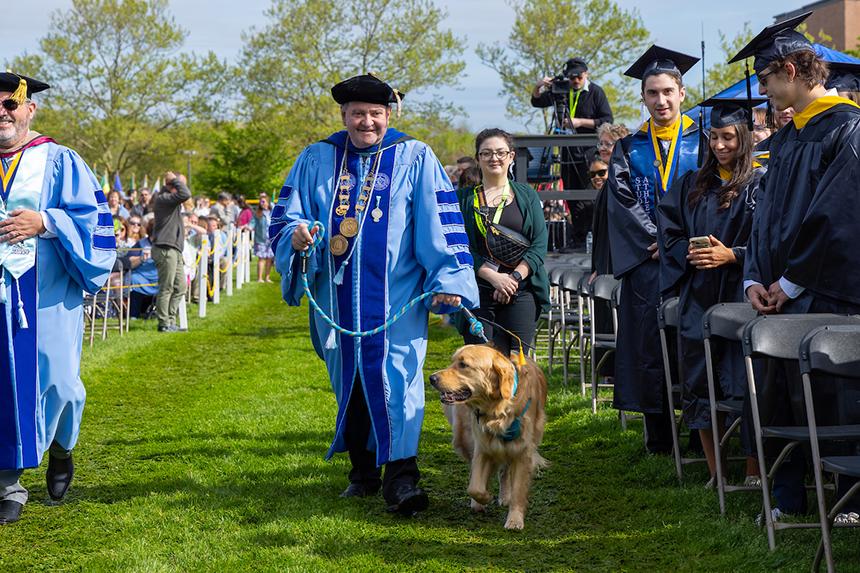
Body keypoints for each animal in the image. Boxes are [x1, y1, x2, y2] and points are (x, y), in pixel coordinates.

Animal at [428, 342, 548, 528]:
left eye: (463, 364)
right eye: (452, 361)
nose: (431, 378)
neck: (498, 409)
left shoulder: (522, 452)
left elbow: (518, 489)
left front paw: (515, 519)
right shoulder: (483, 448)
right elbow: (475, 487)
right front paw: (483, 498)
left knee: (505, 472)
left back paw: (505, 496)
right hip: (464, 436)